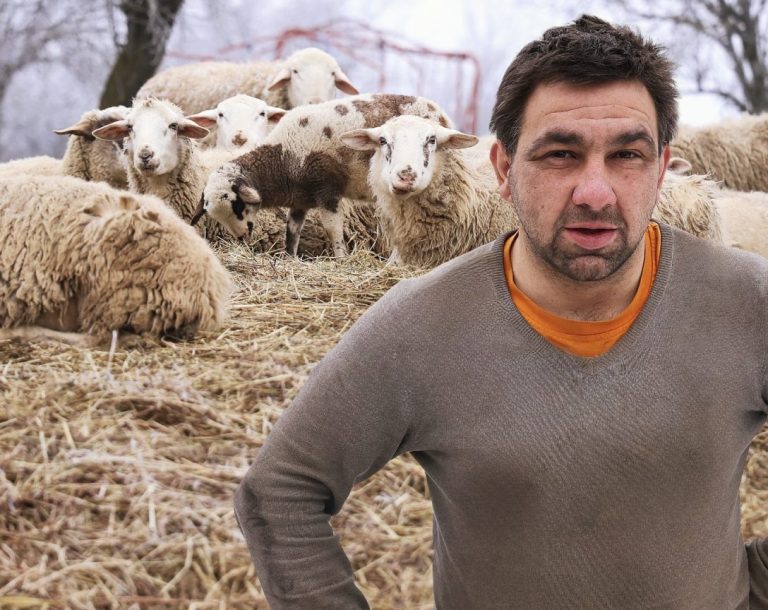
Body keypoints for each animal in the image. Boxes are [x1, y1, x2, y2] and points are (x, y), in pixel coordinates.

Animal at [195, 93, 453, 257]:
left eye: (237, 205)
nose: (240, 237)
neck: (283, 156)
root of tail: (440, 113)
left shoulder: (327, 191)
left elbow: (332, 229)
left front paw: (341, 259)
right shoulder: (300, 200)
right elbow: (292, 232)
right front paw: (290, 258)